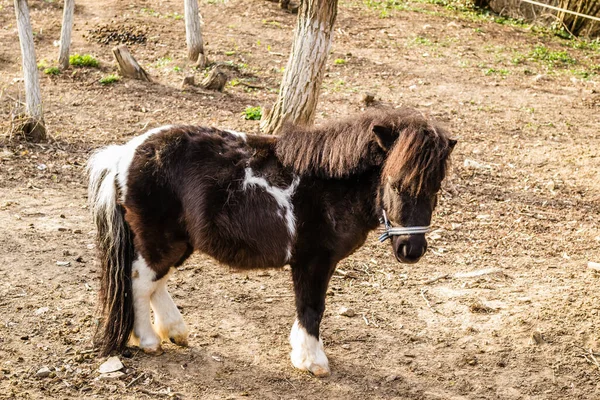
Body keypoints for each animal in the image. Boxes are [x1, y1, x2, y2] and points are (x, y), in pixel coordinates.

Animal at [88, 106, 454, 376]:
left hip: (177, 243)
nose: (411, 250)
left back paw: (175, 330)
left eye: (436, 187)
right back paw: (149, 340)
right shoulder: (313, 262)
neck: (329, 186)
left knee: (156, 283)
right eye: (395, 183)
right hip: (158, 240)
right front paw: (312, 361)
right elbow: (312, 308)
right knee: (140, 283)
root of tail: (125, 154)